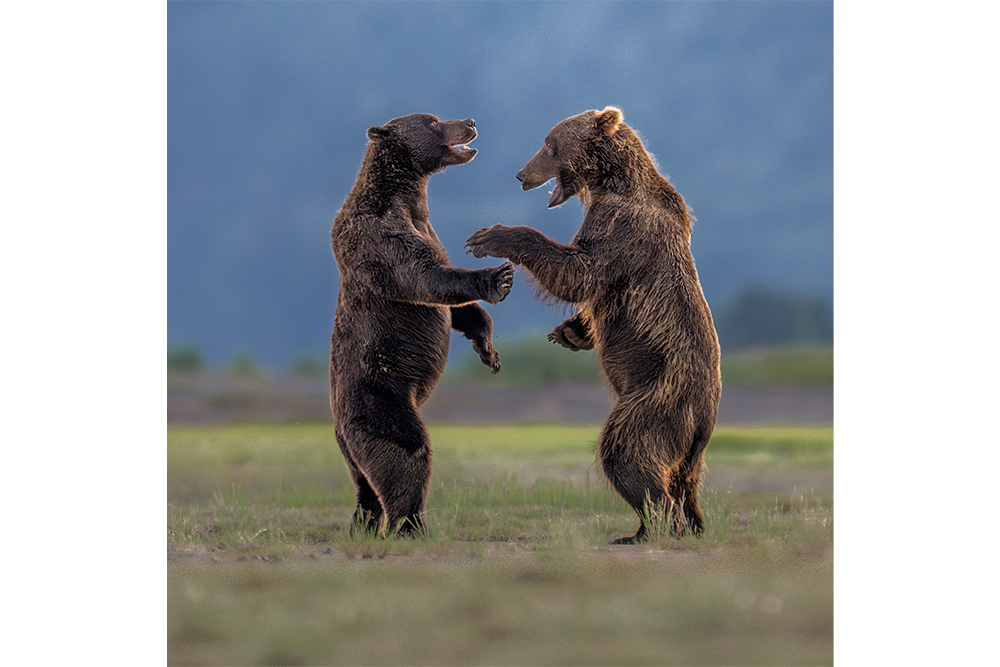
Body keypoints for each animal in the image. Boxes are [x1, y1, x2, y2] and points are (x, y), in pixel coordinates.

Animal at [330, 113, 514, 538]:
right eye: (431, 121)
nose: (470, 120)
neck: (408, 195)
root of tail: (337, 425)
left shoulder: (425, 226)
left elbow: (455, 307)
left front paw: (488, 351)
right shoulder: (381, 234)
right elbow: (425, 277)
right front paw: (498, 278)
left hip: (350, 445)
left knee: (365, 484)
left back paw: (364, 524)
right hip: (378, 394)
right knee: (406, 452)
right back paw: (410, 524)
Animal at [466, 107, 721, 543]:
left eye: (549, 143)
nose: (521, 174)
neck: (610, 182)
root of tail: (705, 420)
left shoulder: (621, 227)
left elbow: (579, 272)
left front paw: (490, 236)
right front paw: (568, 332)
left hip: (659, 394)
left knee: (626, 450)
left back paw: (654, 528)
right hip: (688, 442)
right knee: (683, 480)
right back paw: (680, 525)